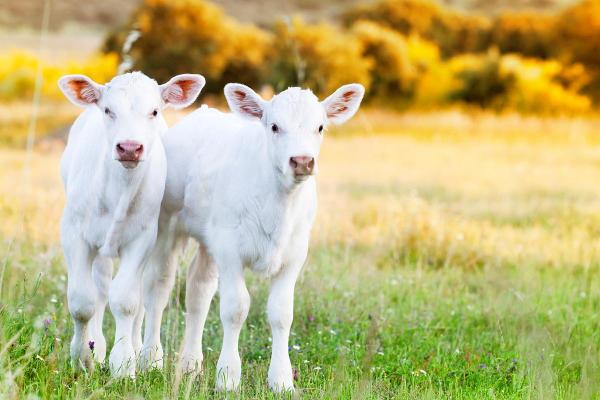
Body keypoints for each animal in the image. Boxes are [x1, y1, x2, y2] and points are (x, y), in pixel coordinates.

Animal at [58, 70, 205, 376]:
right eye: (107, 110)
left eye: (154, 111)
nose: (129, 147)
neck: (118, 189)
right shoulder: (73, 233)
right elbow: (82, 301)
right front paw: (82, 356)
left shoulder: (143, 238)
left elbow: (126, 301)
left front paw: (124, 364)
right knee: (100, 286)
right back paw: (98, 346)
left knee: (142, 298)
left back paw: (141, 351)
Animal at [139, 82, 366, 390]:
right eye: (274, 126)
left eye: (320, 127)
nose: (302, 161)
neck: (279, 205)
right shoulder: (230, 250)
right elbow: (236, 308)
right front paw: (228, 377)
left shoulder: (294, 254)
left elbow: (282, 313)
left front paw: (282, 380)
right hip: (167, 226)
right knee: (159, 287)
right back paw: (151, 360)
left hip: (210, 238)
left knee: (198, 290)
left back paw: (190, 365)